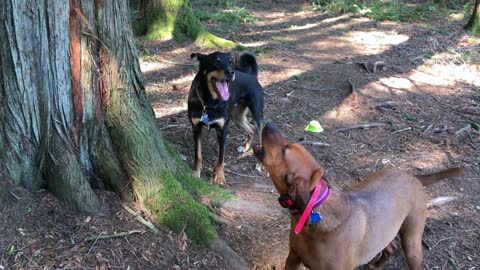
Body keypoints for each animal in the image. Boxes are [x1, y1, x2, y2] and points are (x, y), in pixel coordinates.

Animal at [188, 51, 264, 185]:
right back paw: (245, 148)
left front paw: (219, 177)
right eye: (216, 61)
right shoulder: (196, 128)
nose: (230, 72)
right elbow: (198, 154)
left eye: (230, 61)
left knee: (260, 134)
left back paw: (260, 164)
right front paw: (196, 172)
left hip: (257, 114)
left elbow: (221, 157)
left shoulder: (222, 130)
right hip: (236, 116)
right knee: (251, 128)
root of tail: (252, 76)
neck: (209, 102)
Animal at [253, 123, 464, 270]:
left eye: (284, 150)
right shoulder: (293, 258)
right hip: (383, 232)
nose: (269, 124)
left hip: (412, 242)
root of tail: (412, 176)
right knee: (390, 248)